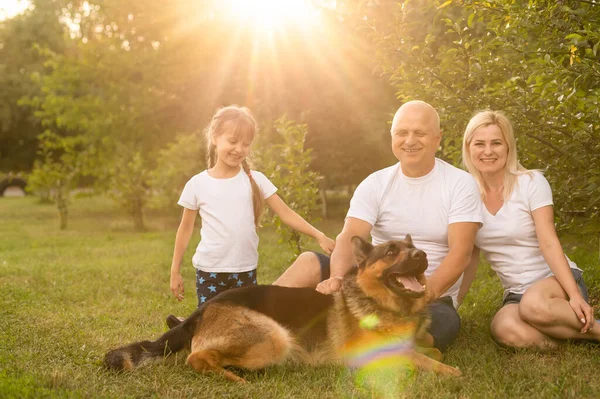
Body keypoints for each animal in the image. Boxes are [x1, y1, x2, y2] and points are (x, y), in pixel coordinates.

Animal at [104, 236, 460, 382]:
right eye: (390, 252)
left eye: (414, 248)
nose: (421, 256)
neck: (380, 302)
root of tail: (203, 310)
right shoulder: (368, 356)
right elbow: (420, 358)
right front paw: (448, 371)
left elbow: (428, 350)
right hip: (274, 338)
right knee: (196, 358)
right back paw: (235, 379)